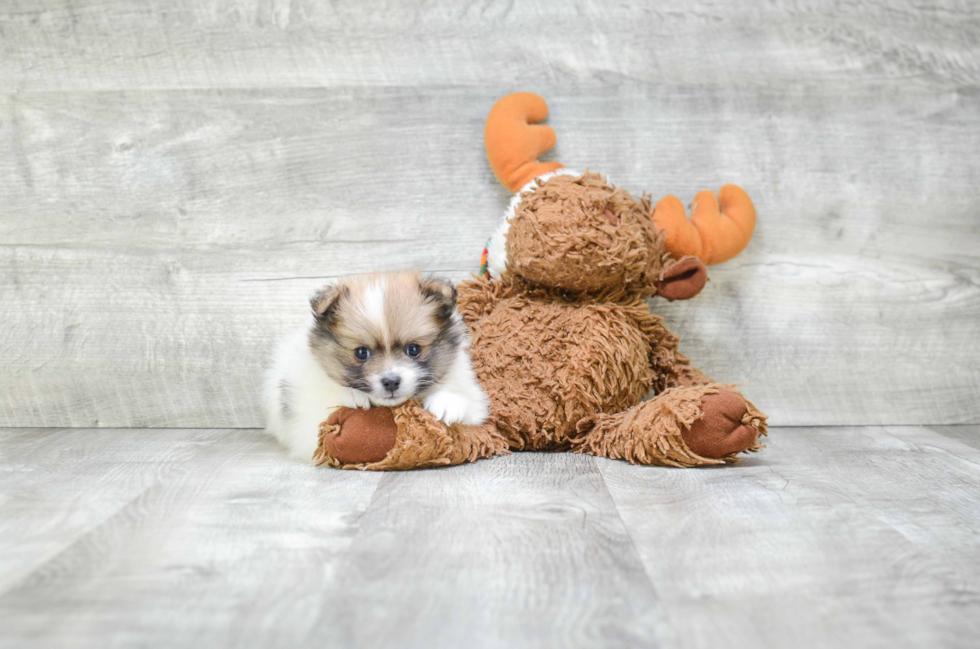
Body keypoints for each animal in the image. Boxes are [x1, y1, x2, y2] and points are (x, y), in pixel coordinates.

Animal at [264, 270, 490, 458]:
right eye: (361, 353)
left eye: (414, 349)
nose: (391, 382)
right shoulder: (307, 420)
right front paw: (352, 395)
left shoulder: (471, 395)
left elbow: (467, 403)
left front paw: (446, 403)